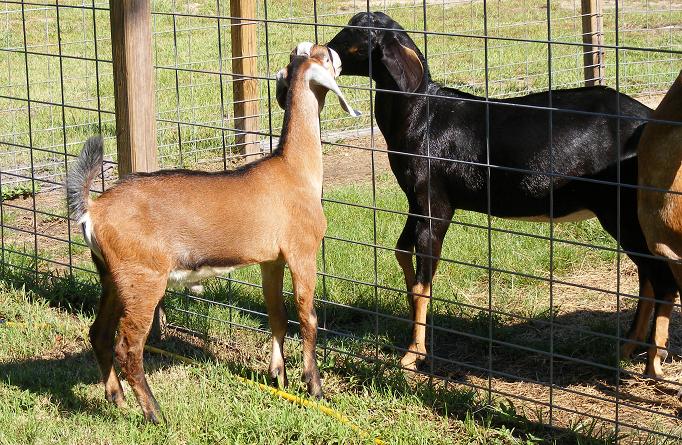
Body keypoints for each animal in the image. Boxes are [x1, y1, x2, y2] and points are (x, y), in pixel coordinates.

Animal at [65, 43, 358, 422]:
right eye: (323, 55)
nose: (338, 53)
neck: (294, 170)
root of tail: (94, 209)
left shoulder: (271, 260)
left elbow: (276, 315)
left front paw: (278, 377)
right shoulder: (302, 251)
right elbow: (308, 318)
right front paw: (315, 389)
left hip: (113, 278)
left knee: (98, 334)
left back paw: (117, 399)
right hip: (143, 279)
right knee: (127, 348)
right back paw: (154, 414)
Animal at [326, 12, 676, 376]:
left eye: (355, 36)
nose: (321, 51)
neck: (423, 114)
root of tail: (651, 121)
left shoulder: (435, 203)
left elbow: (424, 283)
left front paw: (412, 355)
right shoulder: (416, 202)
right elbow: (401, 254)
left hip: (625, 210)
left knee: (662, 279)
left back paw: (654, 361)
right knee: (649, 277)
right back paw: (626, 349)